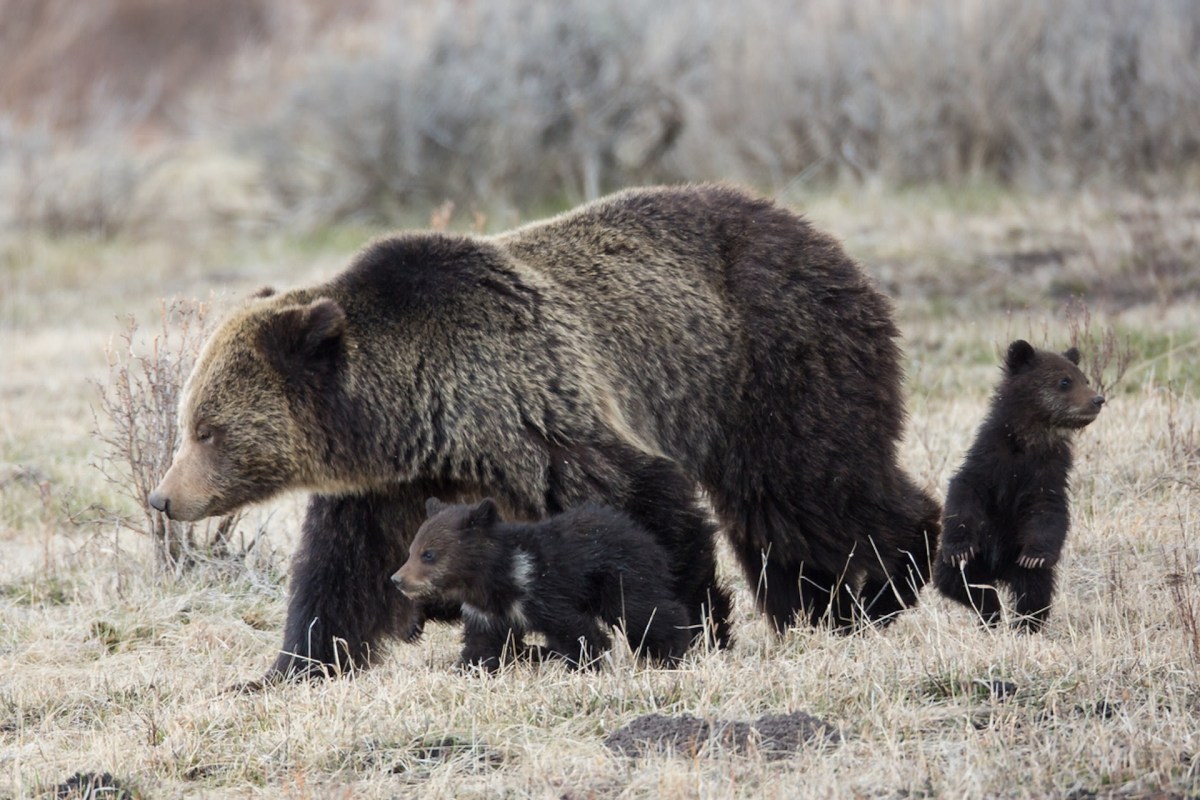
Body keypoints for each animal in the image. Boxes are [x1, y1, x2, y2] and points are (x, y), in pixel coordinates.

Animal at [393, 496, 696, 671]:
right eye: (411, 550)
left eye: (428, 554)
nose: (397, 580)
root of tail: (647, 538)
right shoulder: (486, 614)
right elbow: (481, 646)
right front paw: (467, 668)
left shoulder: (543, 592)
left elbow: (577, 631)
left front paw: (586, 664)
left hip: (621, 577)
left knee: (642, 611)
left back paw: (672, 652)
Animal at [936, 340, 1104, 628]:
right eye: (1065, 381)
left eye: (1085, 379)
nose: (1097, 400)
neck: (1029, 440)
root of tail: (998, 571)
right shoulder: (990, 460)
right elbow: (964, 490)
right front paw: (959, 547)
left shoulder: (1047, 473)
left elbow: (1048, 511)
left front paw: (1035, 555)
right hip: (974, 560)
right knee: (957, 581)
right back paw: (990, 610)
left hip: (1018, 559)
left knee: (1034, 590)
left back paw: (1024, 623)